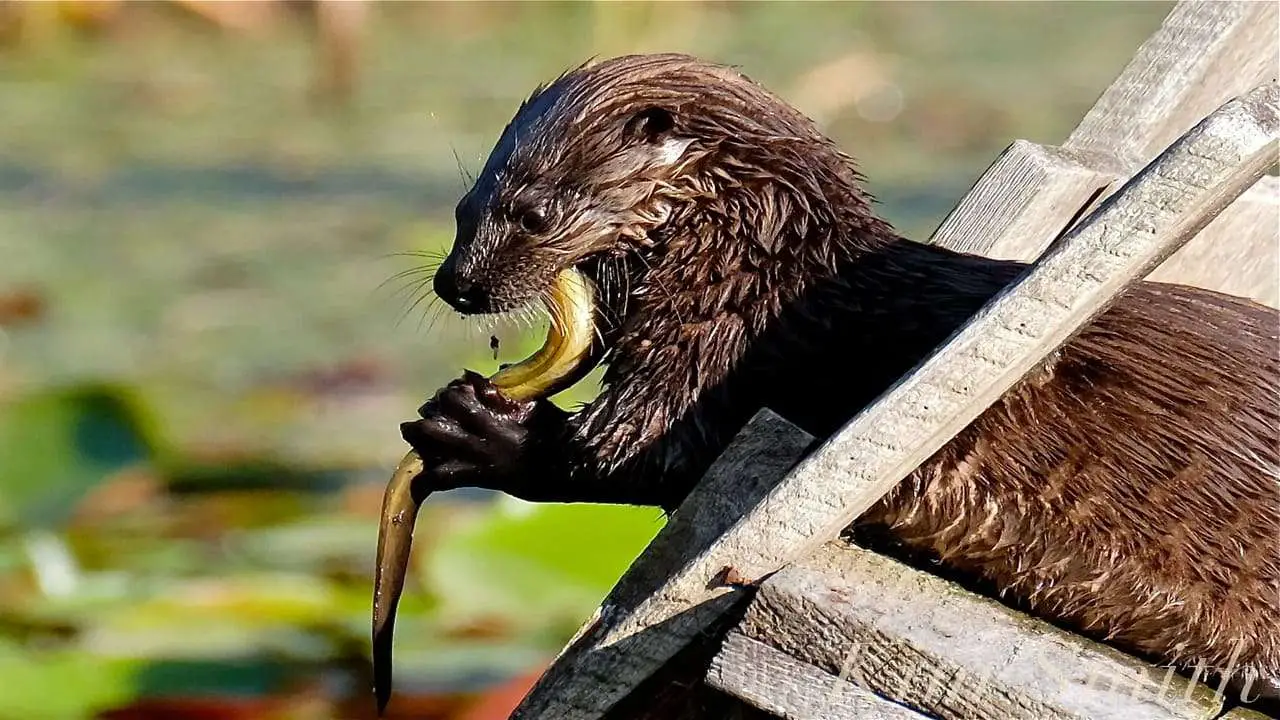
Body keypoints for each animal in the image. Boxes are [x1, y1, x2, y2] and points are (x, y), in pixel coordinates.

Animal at [400, 54, 1280, 708]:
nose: (457, 284)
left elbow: (632, 454)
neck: (764, 277)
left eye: (533, 214)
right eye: (462, 207)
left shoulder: (718, 355)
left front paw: (474, 432)